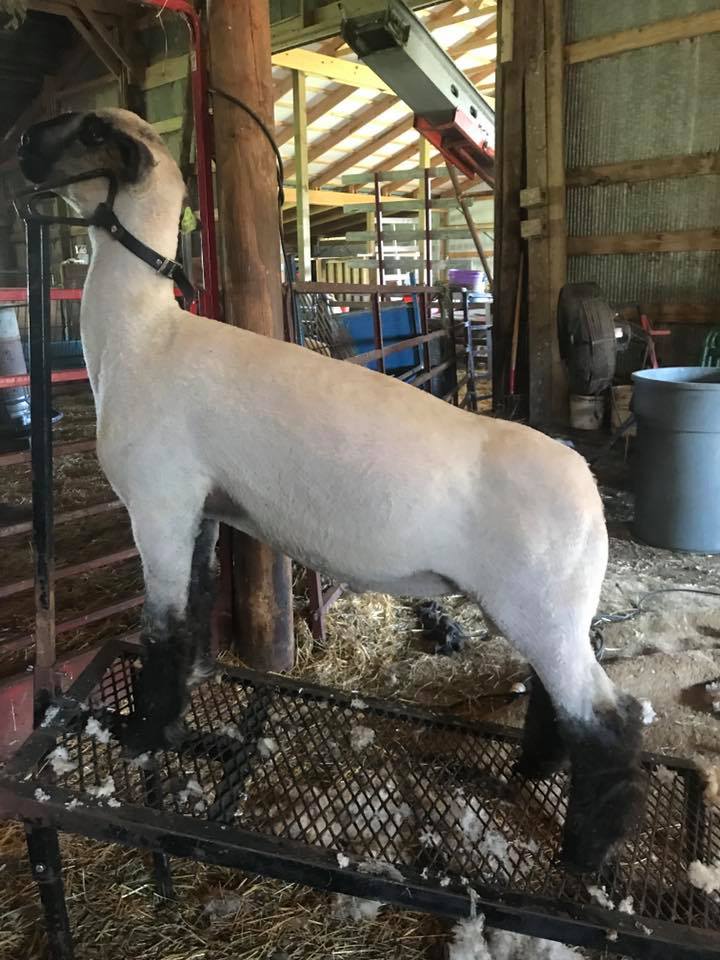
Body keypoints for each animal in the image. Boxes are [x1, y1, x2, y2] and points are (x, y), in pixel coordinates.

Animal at [18, 108, 645, 873]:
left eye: (87, 132)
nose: (20, 147)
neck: (139, 337)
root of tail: (587, 490)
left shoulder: (158, 500)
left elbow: (162, 630)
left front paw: (144, 736)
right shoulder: (200, 508)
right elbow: (194, 608)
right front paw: (184, 700)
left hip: (542, 605)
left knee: (610, 722)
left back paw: (584, 853)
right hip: (547, 609)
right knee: (558, 701)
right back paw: (532, 771)